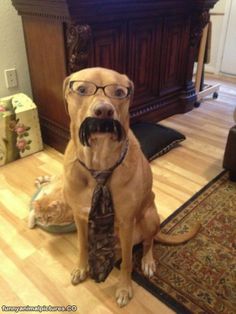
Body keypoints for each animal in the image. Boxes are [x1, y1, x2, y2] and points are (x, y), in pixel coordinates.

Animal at [62, 67, 199, 306]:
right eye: (82, 89)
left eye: (118, 92)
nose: (104, 111)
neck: (100, 164)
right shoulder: (80, 216)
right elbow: (82, 245)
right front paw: (81, 268)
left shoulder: (126, 223)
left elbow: (127, 262)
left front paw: (124, 288)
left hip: (150, 217)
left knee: (148, 243)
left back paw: (148, 261)